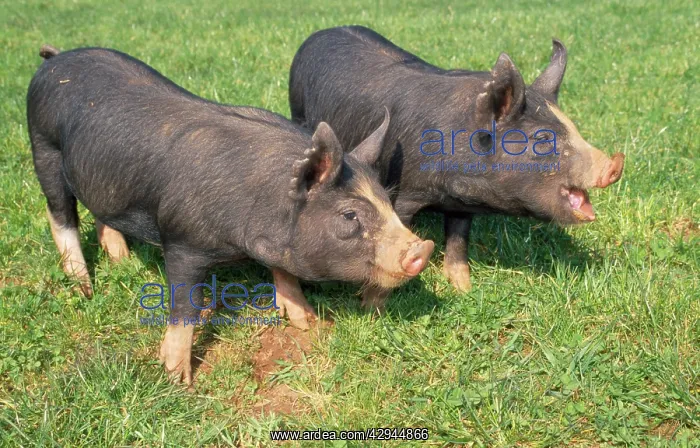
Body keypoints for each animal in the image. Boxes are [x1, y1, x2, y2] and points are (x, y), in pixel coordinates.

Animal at [27, 44, 434, 384]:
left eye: (387, 200)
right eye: (349, 215)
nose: (422, 248)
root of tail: (54, 59)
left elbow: (284, 272)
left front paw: (308, 323)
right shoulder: (180, 241)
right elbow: (184, 305)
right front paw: (177, 380)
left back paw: (121, 259)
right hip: (43, 147)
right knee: (59, 213)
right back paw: (84, 287)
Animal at [289, 26, 625, 303]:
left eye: (574, 126)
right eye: (542, 139)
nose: (614, 165)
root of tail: (319, 34)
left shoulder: (462, 204)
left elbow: (458, 241)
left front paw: (464, 290)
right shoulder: (404, 194)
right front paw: (376, 307)